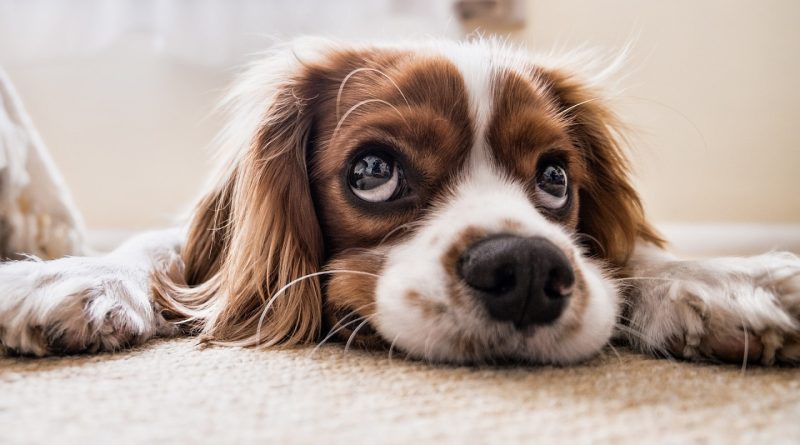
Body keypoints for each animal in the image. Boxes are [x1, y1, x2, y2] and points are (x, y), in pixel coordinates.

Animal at [1, 38, 800, 364]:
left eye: (555, 179)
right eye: (374, 170)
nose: (527, 270)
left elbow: (632, 257)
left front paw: (723, 281)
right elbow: (160, 250)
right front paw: (70, 276)